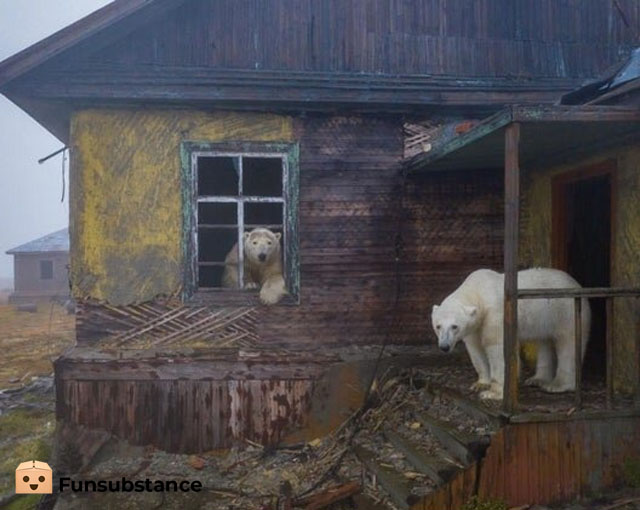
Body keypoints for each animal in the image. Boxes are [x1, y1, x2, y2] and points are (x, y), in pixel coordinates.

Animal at [431, 268, 590, 400]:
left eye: (454, 326)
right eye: (438, 326)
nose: (444, 346)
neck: (478, 291)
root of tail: (577, 284)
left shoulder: (495, 314)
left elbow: (497, 348)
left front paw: (493, 393)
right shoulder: (474, 327)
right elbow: (475, 349)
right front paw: (480, 384)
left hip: (565, 311)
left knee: (568, 344)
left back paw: (557, 385)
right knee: (544, 341)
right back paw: (538, 379)